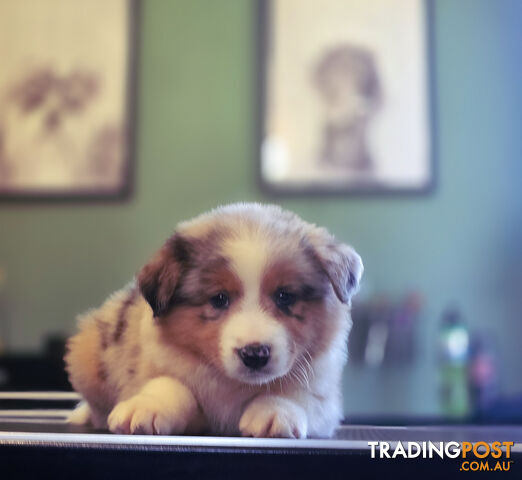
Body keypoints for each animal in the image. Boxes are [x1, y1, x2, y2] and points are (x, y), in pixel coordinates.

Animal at [65, 204, 362, 436]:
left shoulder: (324, 395)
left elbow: (299, 393)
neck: (233, 385)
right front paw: (147, 407)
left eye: (284, 296)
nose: (255, 354)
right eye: (219, 299)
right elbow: (170, 384)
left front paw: (276, 411)